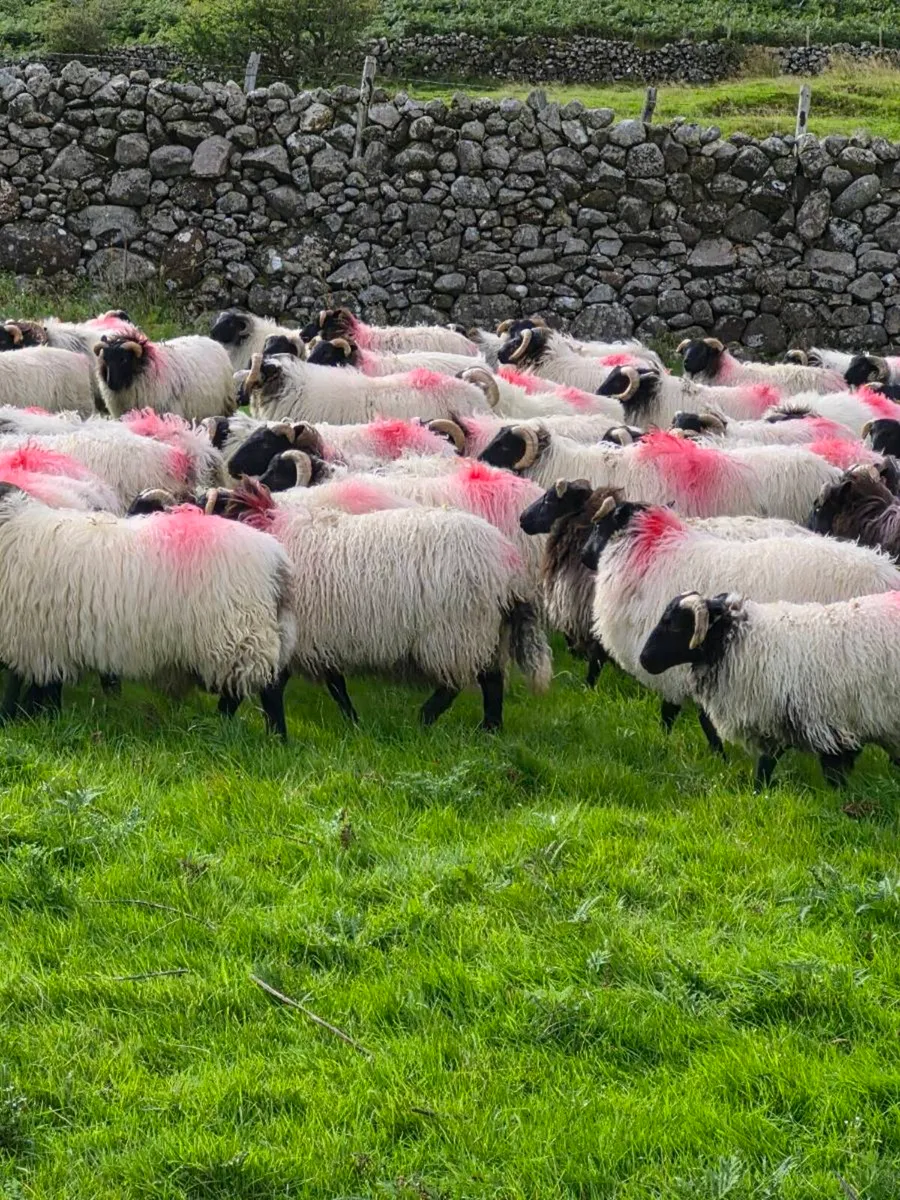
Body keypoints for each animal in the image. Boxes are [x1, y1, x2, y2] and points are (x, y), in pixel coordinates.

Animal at [0, 484, 297, 734]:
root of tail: (277, 559)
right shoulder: (46, 643)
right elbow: (41, 690)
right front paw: (34, 717)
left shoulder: (34, 638)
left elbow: (24, 689)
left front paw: (13, 720)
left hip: (240, 633)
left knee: (264, 688)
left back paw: (268, 737)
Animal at [202, 479, 549, 729]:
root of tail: (508, 563)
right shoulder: (319, 639)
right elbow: (336, 686)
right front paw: (354, 723)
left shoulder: (293, 635)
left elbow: (271, 688)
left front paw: (256, 727)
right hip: (489, 632)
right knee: (492, 681)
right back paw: (489, 729)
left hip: (457, 631)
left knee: (458, 684)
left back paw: (425, 720)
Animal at [582, 497, 900, 753]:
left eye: (600, 526)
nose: (584, 557)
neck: (651, 555)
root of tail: (887, 571)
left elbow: (676, 713)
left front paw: (691, 747)